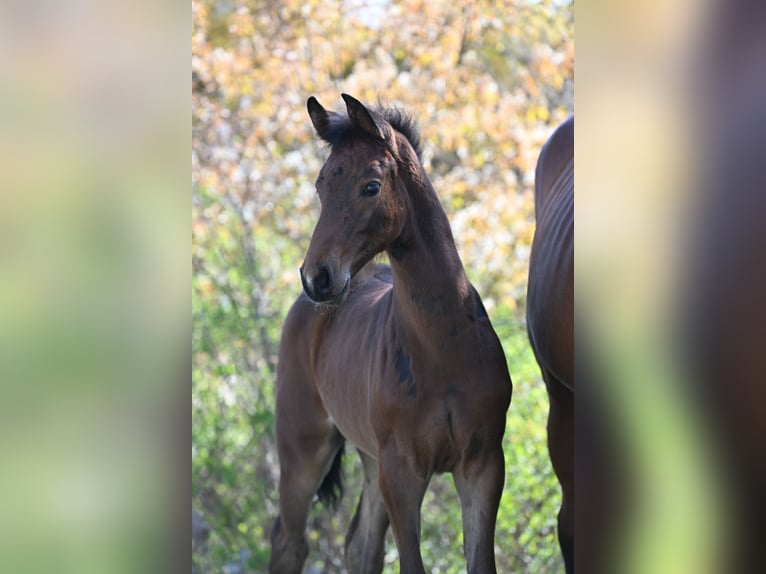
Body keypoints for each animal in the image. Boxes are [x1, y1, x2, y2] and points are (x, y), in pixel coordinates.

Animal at [270, 95, 516, 574]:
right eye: (320, 186)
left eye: (371, 186)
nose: (317, 277)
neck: (443, 350)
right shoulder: (402, 471)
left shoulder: (482, 465)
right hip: (303, 448)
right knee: (290, 544)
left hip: (369, 458)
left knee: (359, 546)